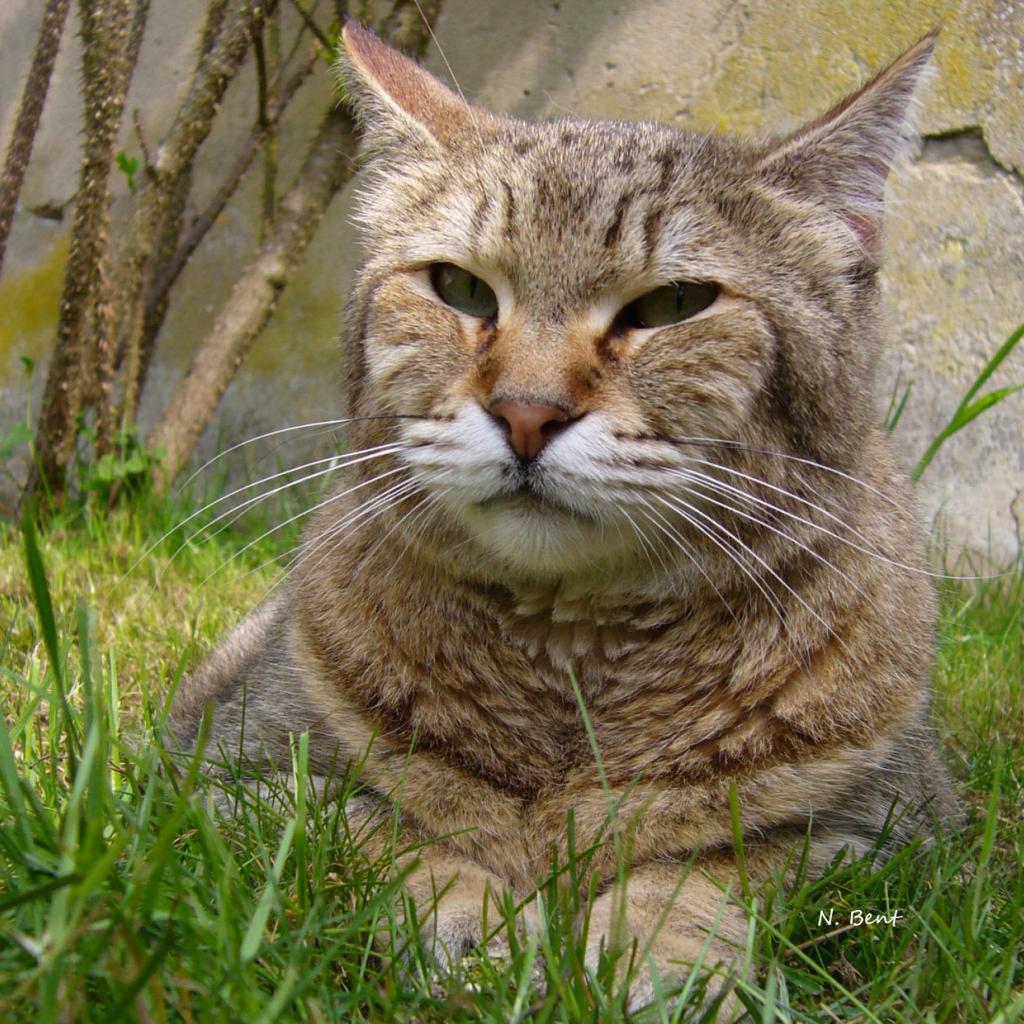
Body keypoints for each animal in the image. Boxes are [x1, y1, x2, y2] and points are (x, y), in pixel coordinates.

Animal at [170, 22, 960, 1012]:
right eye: (461, 288)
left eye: (673, 303)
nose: (526, 412)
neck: (570, 656)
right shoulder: (230, 775)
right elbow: (381, 830)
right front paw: (469, 920)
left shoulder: (893, 837)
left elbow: (719, 868)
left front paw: (655, 951)